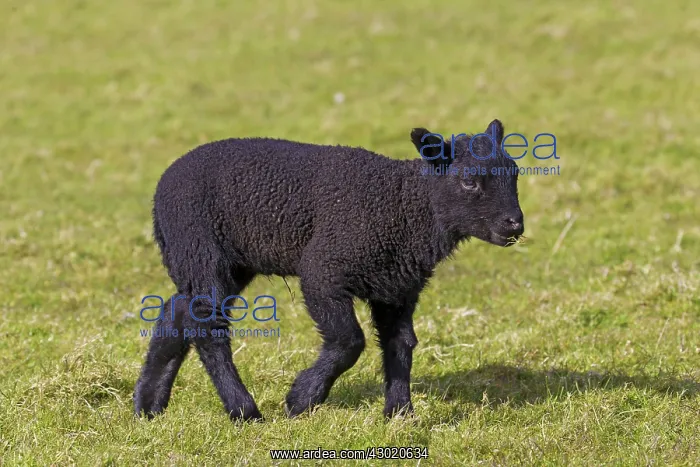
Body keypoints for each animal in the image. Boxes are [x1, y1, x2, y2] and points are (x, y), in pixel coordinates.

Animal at [134, 119, 525, 421]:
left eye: (515, 174)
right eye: (469, 181)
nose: (514, 225)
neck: (403, 206)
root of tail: (162, 185)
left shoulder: (397, 288)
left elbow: (400, 344)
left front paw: (400, 414)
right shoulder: (323, 270)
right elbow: (349, 340)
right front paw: (300, 399)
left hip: (228, 264)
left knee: (176, 313)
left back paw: (148, 405)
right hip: (200, 247)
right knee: (207, 328)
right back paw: (244, 411)